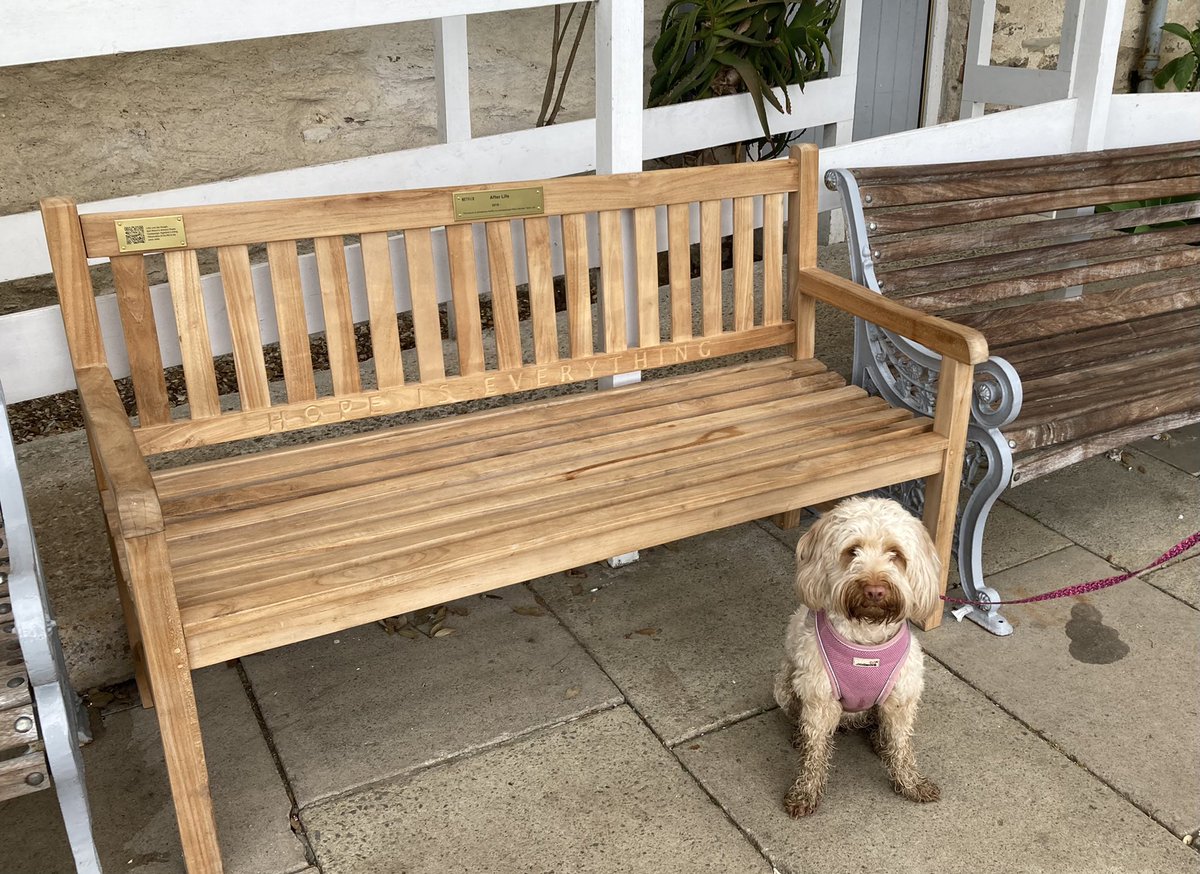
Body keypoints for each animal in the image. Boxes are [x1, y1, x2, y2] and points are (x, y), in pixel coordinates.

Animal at [772, 499, 940, 821]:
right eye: (852, 551)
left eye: (895, 554)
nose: (875, 590)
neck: (865, 640)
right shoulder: (819, 698)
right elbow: (815, 751)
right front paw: (806, 791)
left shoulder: (902, 697)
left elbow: (902, 745)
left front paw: (910, 782)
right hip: (785, 686)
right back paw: (799, 735)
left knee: (880, 725)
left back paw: (879, 739)